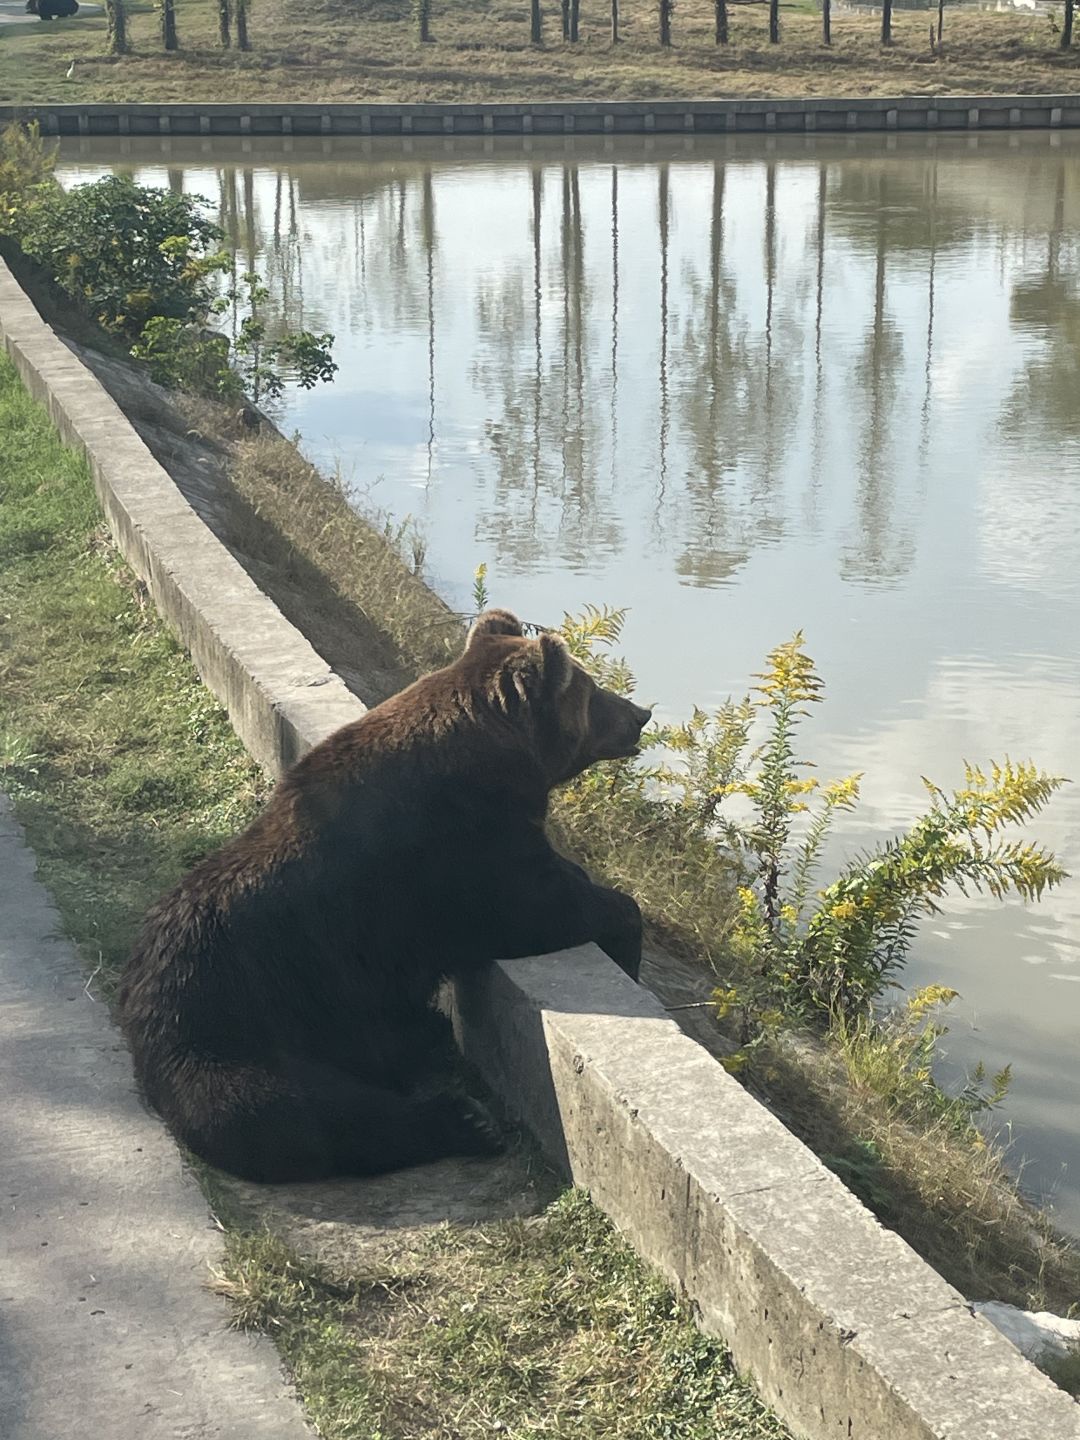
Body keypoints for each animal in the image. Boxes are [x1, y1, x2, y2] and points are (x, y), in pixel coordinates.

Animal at [122, 607, 656, 1180]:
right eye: (592, 689)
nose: (640, 714)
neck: (498, 766)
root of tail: (136, 1005)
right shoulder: (458, 856)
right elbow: (542, 910)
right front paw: (625, 934)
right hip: (242, 1023)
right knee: (299, 1109)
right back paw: (465, 1120)